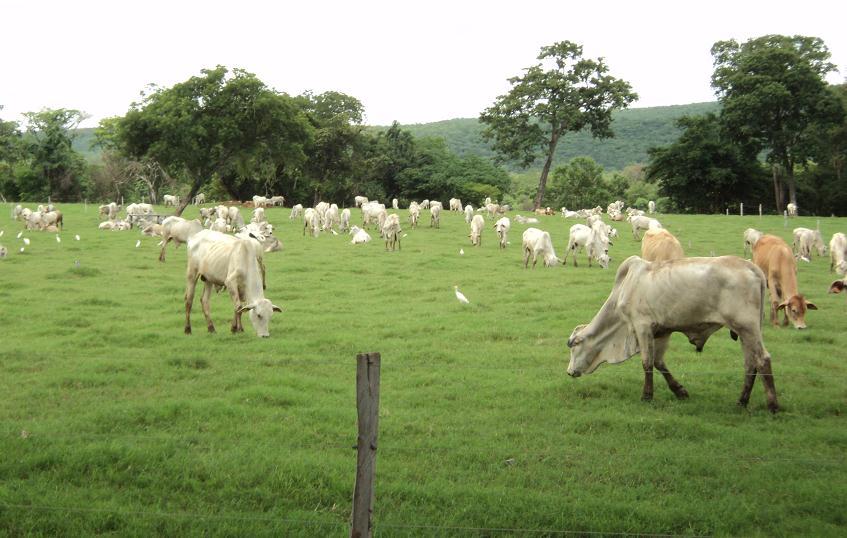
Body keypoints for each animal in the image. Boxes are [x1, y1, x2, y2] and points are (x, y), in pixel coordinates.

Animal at [568, 254, 780, 410]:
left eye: (574, 346)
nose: (569, 372)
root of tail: (752, 267)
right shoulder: (661, 331)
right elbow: (658, 362)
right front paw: (680, 391)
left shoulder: (642, 326)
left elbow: (647, 362)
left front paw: (647, 396)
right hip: (745, 332)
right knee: (750, 363)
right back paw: (742, 401)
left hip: (747, 327)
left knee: (763, 359)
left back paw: (773, 405)